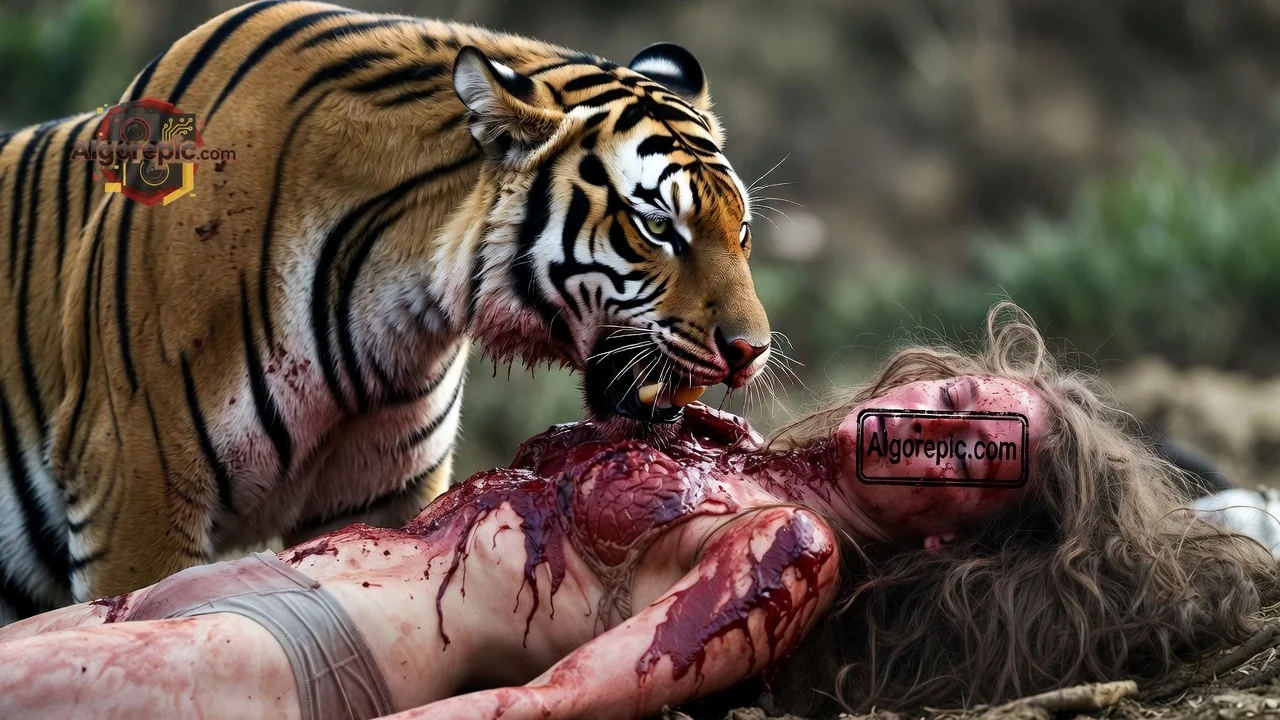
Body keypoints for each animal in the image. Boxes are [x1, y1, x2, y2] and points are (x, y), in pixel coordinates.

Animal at [0, 0, 772, 623]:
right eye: (658, 227)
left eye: (741, 230)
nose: (752, 350)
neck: (401, 307)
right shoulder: (135, 492)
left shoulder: (375, 497)